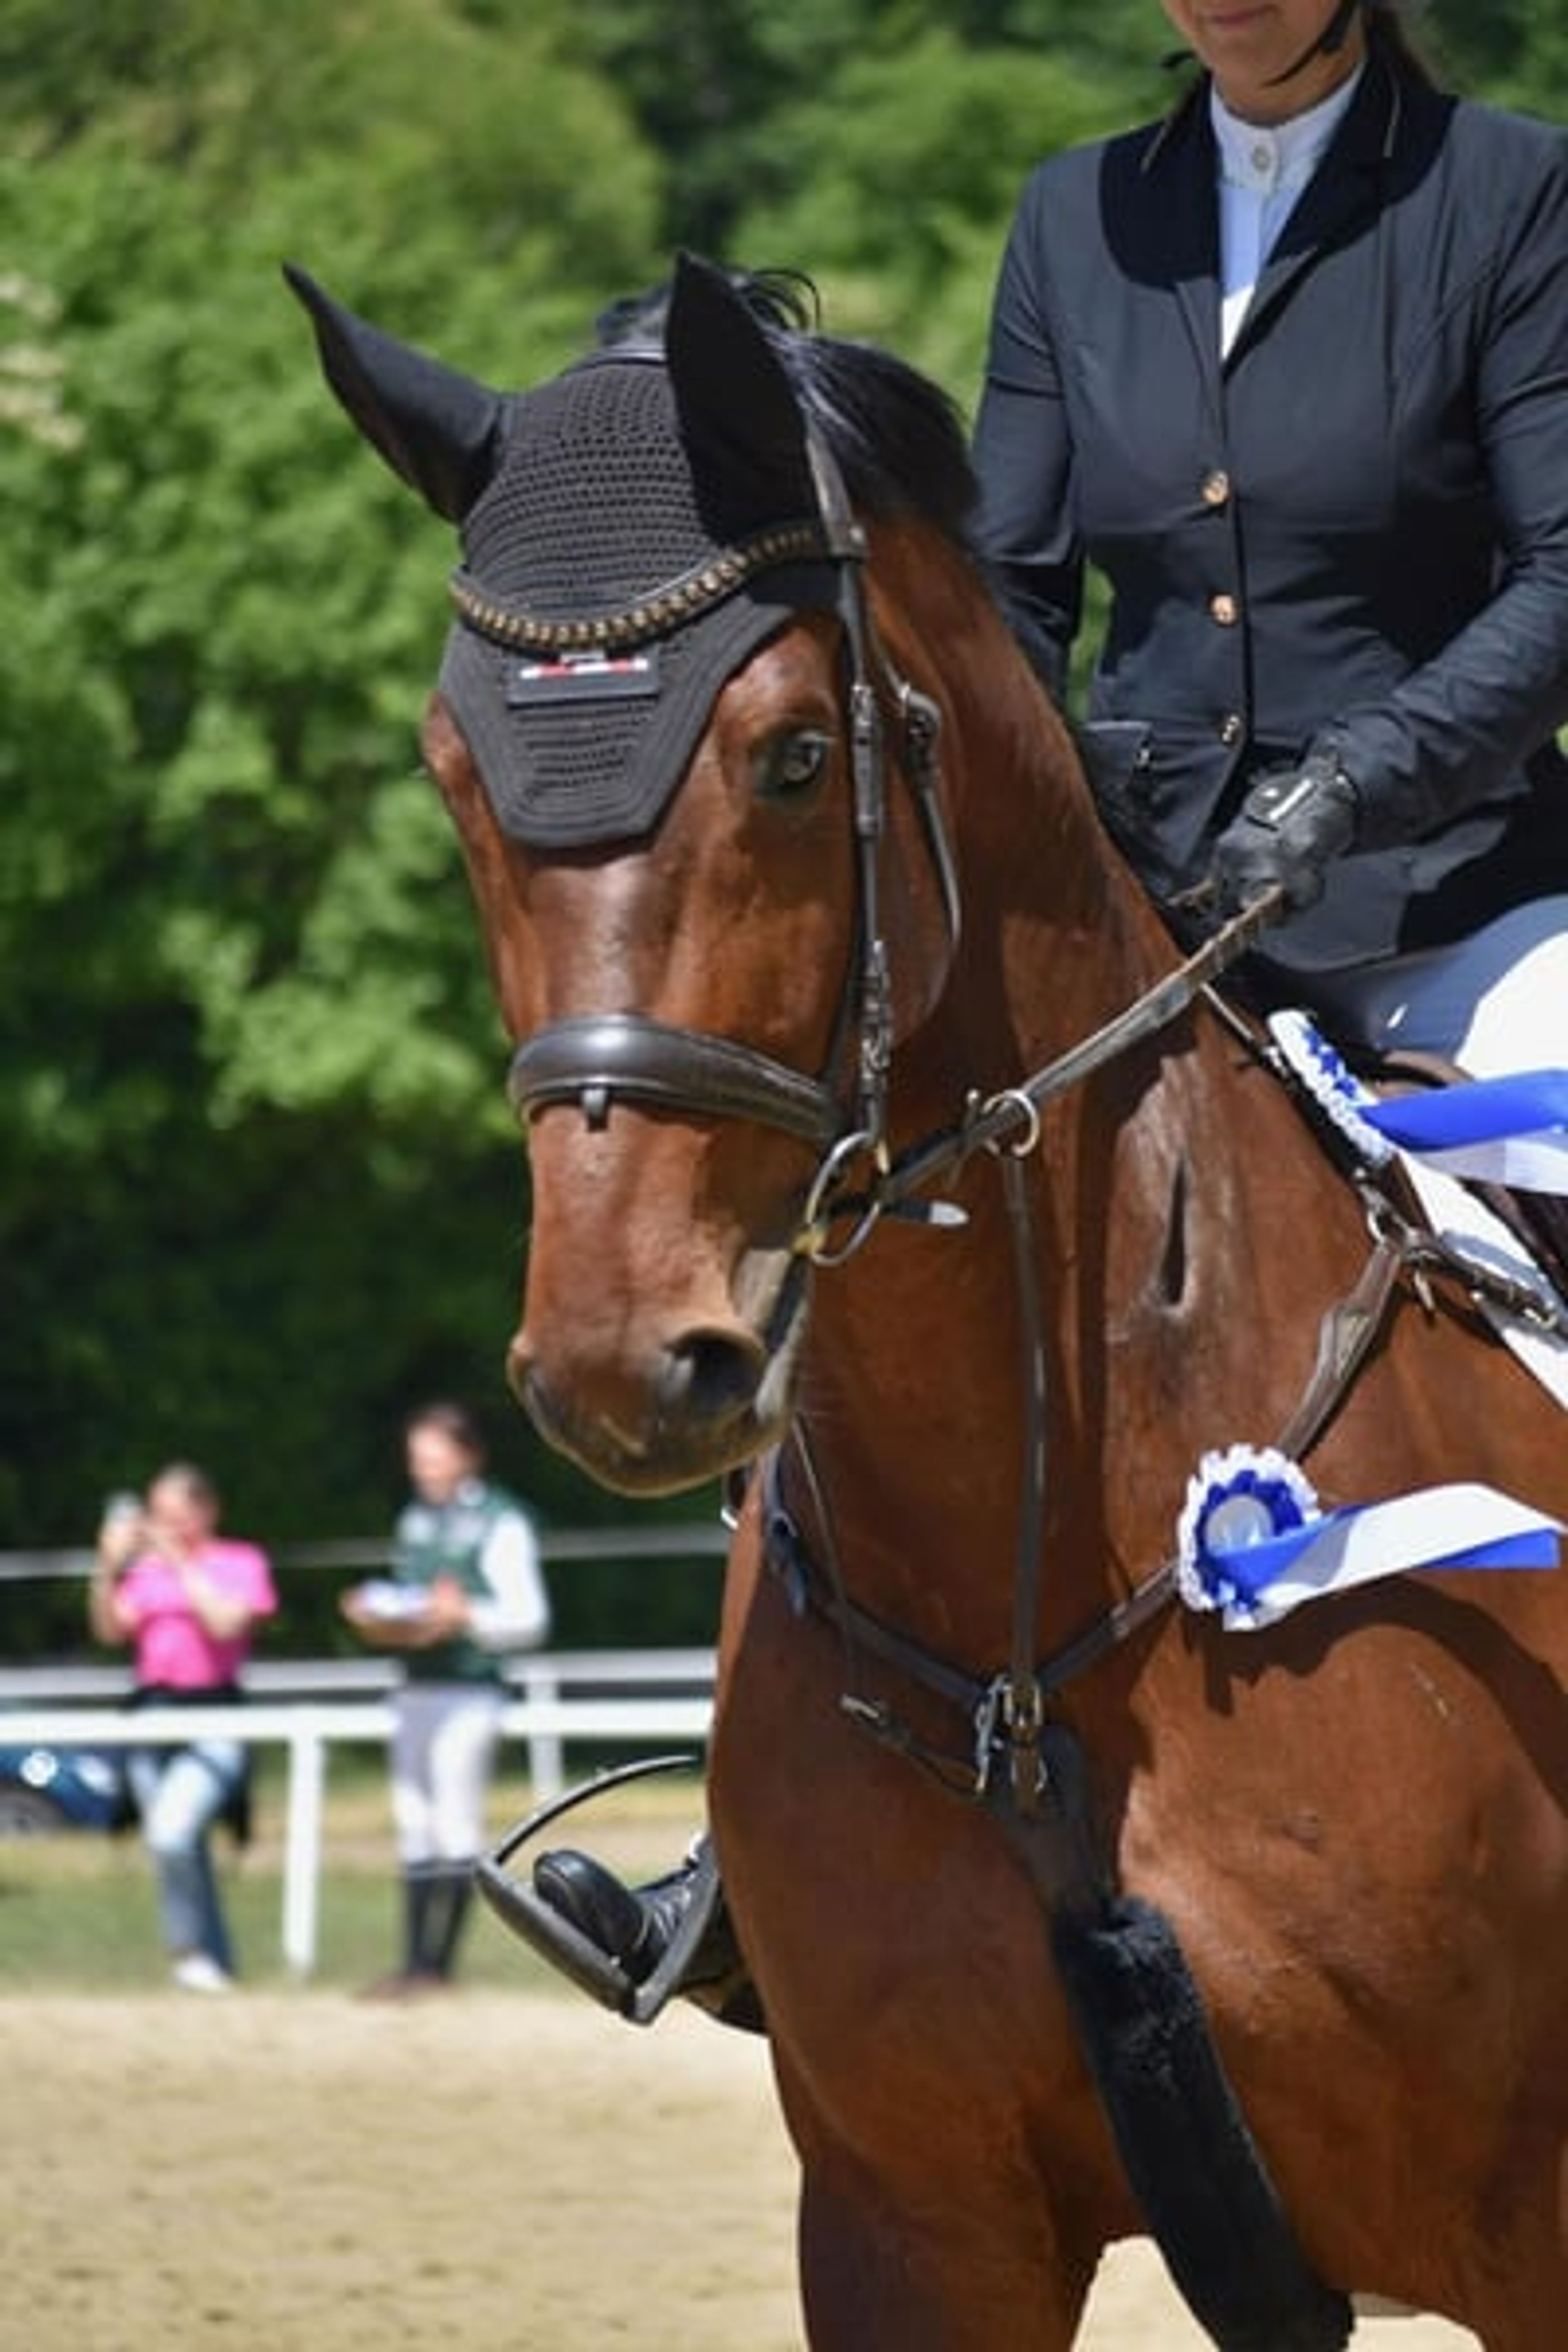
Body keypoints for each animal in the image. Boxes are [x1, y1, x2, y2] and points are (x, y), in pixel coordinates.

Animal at [289, 252, 1568, 2349]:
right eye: (451, 770)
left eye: (798, 755)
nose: (623, 1362)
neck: (1036, 1647)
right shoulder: (916, 2227)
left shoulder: (1528, 2235)